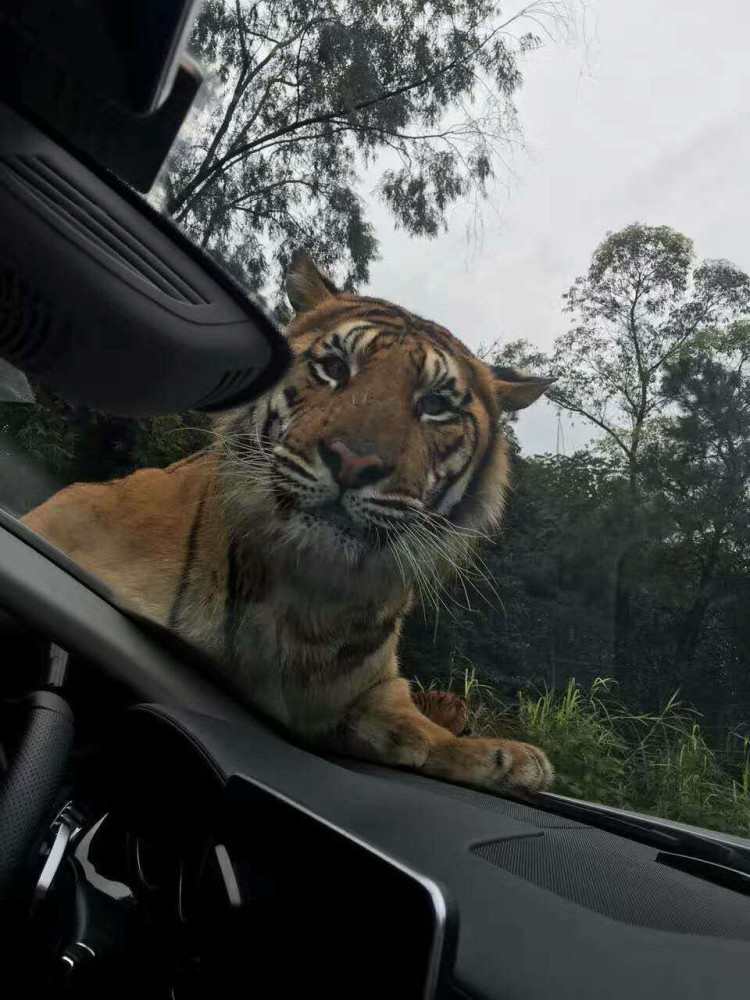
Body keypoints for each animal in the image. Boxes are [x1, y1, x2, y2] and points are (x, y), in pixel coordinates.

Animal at [23, 252, 555, 794]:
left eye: (435, 405)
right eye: (334, 368)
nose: (352, 462)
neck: (313, 597)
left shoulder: (374, 687)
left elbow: (417, 725)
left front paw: (505, 758)